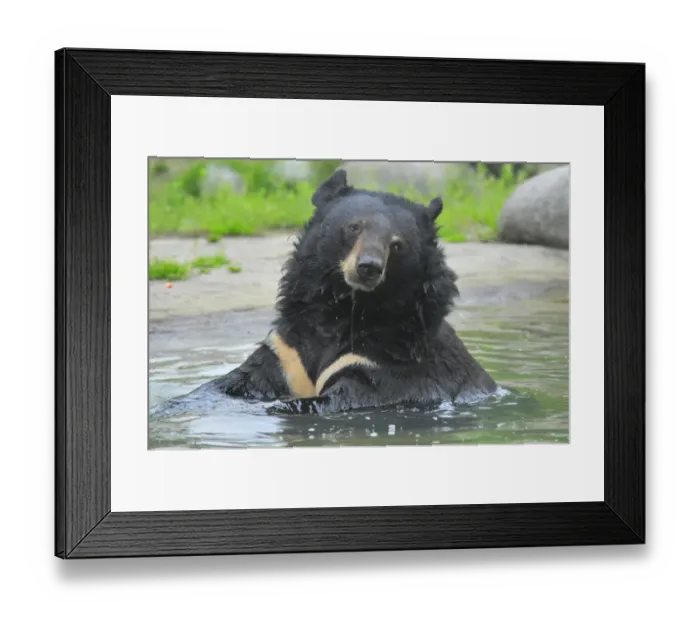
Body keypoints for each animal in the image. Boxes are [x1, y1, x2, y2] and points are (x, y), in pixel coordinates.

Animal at [188, 168, 499, 415]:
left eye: (397, 244)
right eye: (354, 227)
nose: (368, 267)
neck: (345, 303)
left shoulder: (388, 361)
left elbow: (350, 395)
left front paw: (282, 406)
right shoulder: (287, 351)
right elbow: (240, 379)